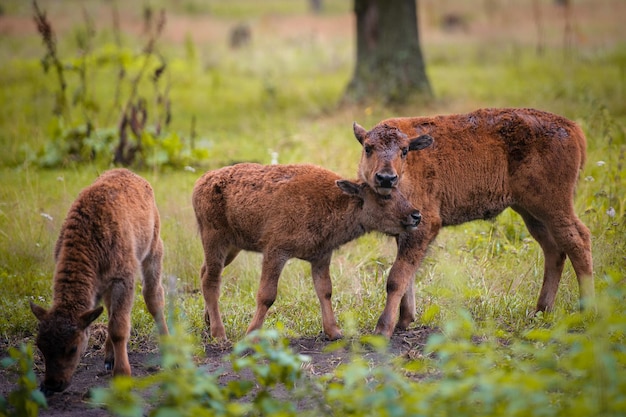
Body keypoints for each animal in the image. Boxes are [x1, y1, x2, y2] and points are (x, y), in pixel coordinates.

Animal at [29, 168, 168, 394]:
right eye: (40, 346)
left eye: (73, 348)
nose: (52, 384)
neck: (89, 240)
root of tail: (132, 175)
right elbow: (112, 319)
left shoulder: (123, 279)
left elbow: (119, 328)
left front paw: (122, 375)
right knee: (112, 310)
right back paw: (109, 357)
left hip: (153, 250)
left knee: (153, 298)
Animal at [190, 161, 420, 340]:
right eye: (385, 196)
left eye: (399, 191)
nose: (416, 215)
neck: (337, 200)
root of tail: (201, 182)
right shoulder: (275, 252)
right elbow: (267, 295)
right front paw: (252, 335)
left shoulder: (321, 257)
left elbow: (325, 290)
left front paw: (334, 332)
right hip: (215, 240)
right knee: (211, 281)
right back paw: (219, 334)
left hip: (232, 247)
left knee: (204, 272)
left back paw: (208, 322)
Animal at [354, 106, 592, 334]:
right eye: (368, 148)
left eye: (404, 151)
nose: (386, 178)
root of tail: (572, 128)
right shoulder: (407, 230)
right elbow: (407, 275)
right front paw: (404, 320)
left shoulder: (424, 225)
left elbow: (397, 278)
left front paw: (383, 328)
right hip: (531, 212)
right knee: (554, 250)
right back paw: (541, 311)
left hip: (553, 206)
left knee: (578, 241)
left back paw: (588, 310)